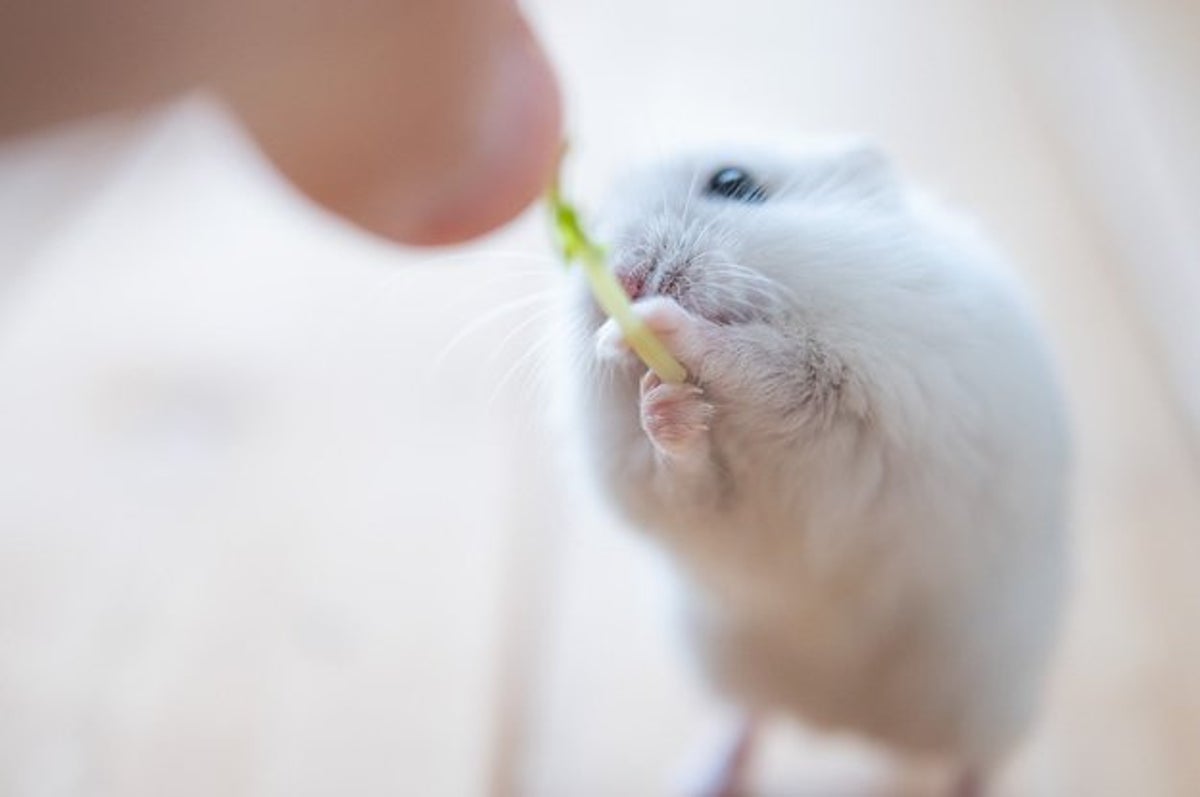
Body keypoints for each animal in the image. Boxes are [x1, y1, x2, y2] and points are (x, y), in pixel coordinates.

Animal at [556, 141, 1075, 792]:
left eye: (733, 182)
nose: (619, 281)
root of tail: (845, 727)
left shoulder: (848, 398)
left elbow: (755, 363)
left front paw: (653, 328)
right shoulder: (669, 493)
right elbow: (679, 477)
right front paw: (657, 396)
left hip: (990, 693)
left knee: (980, 762)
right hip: (729, 661)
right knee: (751, 719)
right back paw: (703, 776)